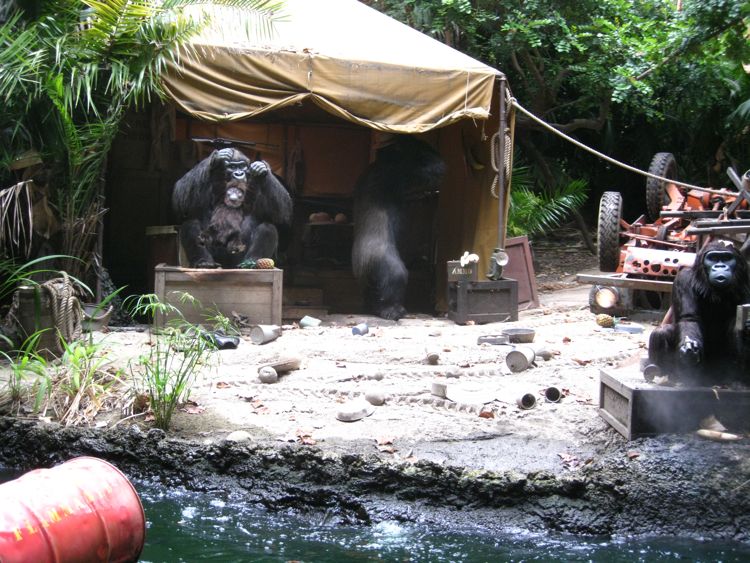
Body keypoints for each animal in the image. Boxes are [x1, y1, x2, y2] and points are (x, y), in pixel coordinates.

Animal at [648, 240, 750, 386]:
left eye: (726, 258)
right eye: (713, 258)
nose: (720, 266)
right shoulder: (684, 279)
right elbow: (689, 319)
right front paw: (689, 346)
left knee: (735, 326)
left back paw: (738, 382)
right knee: (661, 332)